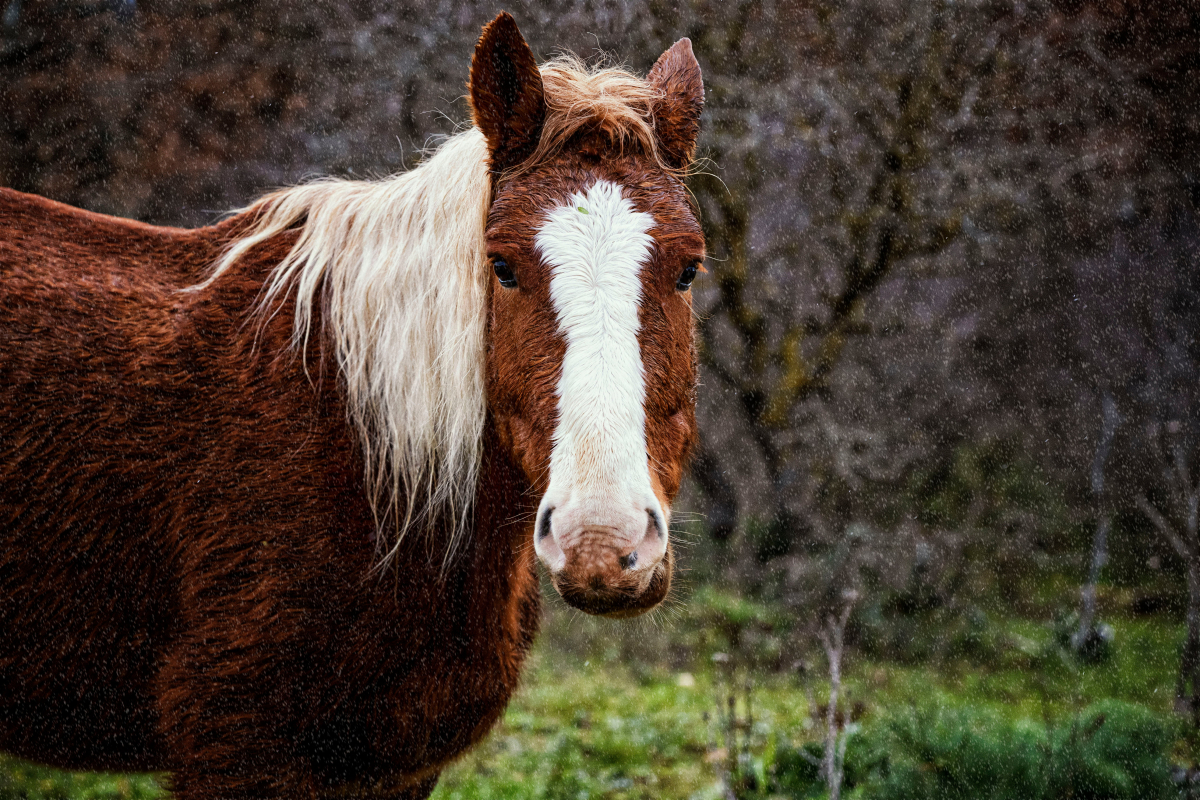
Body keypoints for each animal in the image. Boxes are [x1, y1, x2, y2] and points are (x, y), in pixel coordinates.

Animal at [0, 11, 704, 800]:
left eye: (689, 267)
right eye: (501, 266)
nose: (602, 544)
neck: (371, 466)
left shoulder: (396, 770)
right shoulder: (235, 754)